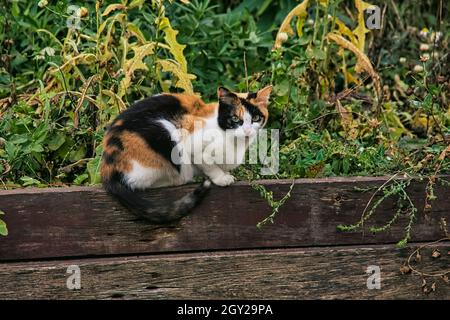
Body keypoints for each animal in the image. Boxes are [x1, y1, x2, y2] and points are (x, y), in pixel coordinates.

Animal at [100, 86, 272, 224]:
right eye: (236, 118)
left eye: (256, 118)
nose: (247, 131)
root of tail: (107, 168)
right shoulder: (191, 140)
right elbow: (207, 163)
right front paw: (221, 178)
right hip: (165, 133)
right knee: (140, 182)